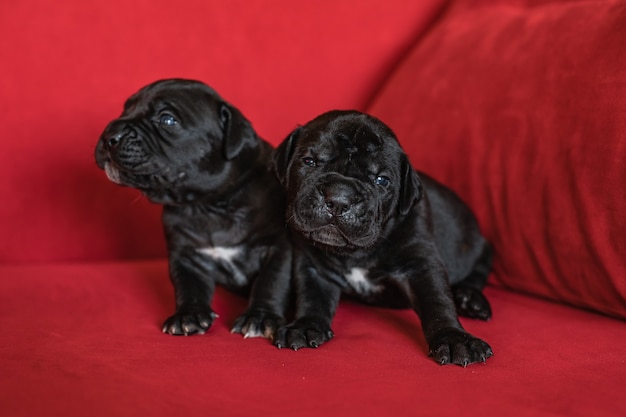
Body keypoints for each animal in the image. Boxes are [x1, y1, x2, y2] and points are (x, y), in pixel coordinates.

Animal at [95, 79, 290, 338]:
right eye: (125, 109)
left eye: (167, 120)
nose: (109, 134)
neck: (206, 204)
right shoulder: (186, 255)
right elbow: (188, 285)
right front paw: (188, 315)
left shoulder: (278, 247)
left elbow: (272, 280)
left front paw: (260, 317)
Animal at [272, 109, 492, 364]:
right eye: (309, 161)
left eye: (382, 180)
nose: (339, 197)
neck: (355, 253)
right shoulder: (313, 267)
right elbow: (311, 296)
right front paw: (306, 326)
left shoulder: (420, 262)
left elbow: (437, 301)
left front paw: (455, 338)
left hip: (478, 248)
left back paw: (471, 299)